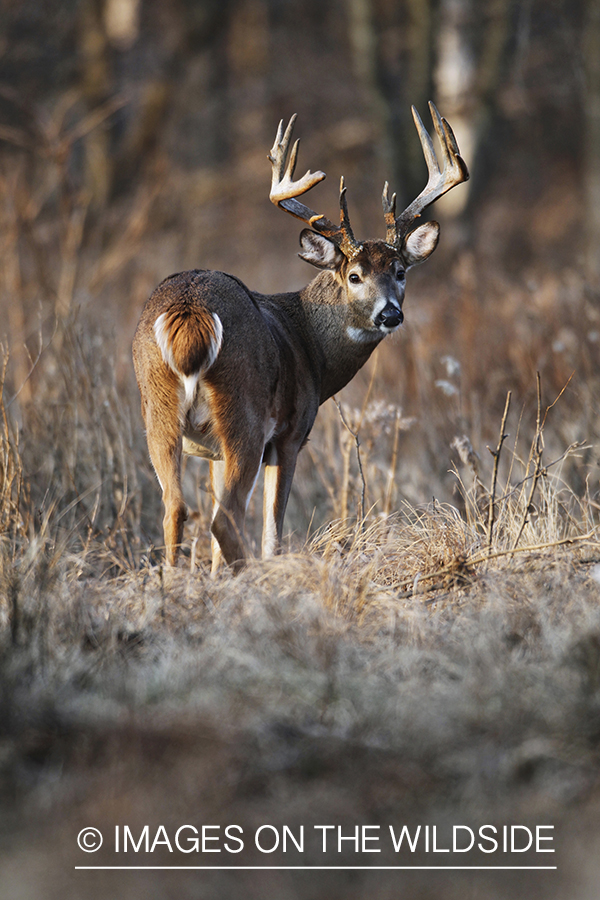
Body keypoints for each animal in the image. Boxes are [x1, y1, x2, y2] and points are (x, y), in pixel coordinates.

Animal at [134, 103, 472, 568]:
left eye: (401, 271)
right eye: (354, 275)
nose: (390, 314)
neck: (310, 347)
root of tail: (190, 311)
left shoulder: (211, 451)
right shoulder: (291, 434)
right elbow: (272, 533)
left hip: (159, 411)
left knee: (175, 508)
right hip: (244, 412)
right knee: (226, 519)